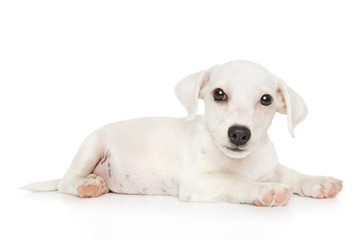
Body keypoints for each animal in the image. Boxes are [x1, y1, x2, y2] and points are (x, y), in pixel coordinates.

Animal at [23, 60, 344, 206]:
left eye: (266, 99)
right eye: (218, 94)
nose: (240, 134)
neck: (239, 161)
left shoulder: (268, 165)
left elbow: (289, 172)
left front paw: (318, 181)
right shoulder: (198, 181)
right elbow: (235, 182)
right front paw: (264, 190)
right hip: (92, 145)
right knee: (65, 181)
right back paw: (86, 185)